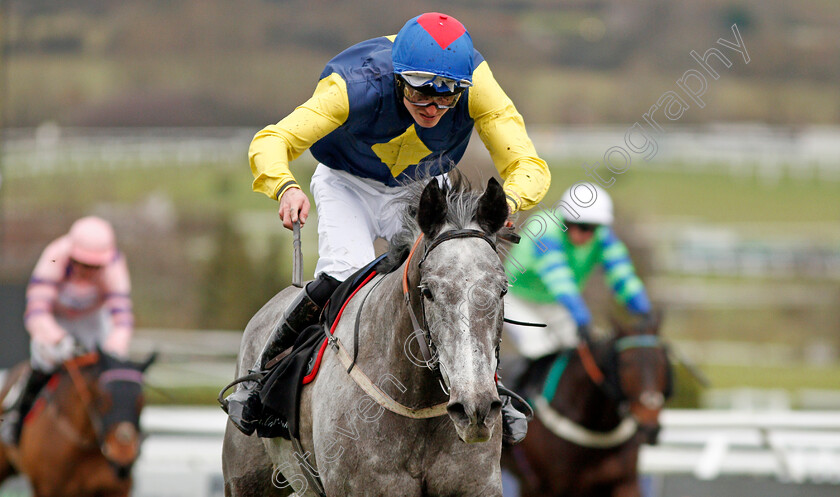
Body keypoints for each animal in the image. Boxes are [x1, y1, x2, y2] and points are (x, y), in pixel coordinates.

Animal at [223, 176, 508, 494]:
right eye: (428, 292)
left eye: (502, 289)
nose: (475, 409)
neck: (415, 404)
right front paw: (292, 200)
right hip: (247, 480)